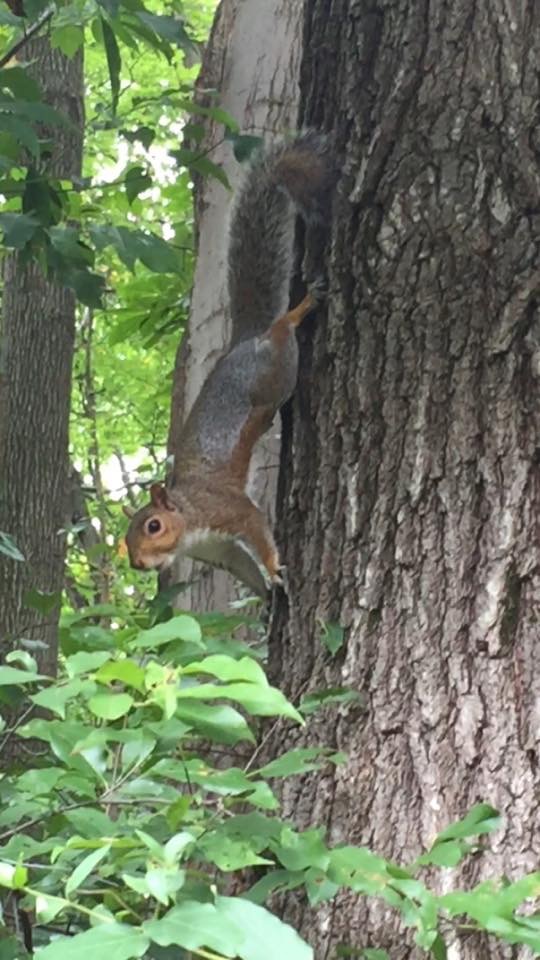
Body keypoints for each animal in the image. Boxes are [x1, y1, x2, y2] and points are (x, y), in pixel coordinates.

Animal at [124, 131, 333, 597]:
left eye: (153, 525)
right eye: (125, 539)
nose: (138, 565)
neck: (189, 520)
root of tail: (242, 341)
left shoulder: (229, 511)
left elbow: (256, 528)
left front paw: (275, 569)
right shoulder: (220, 551)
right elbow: (242, 563)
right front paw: (264, 593)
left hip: (275, 372)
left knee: (282, 331)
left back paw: (301, 309)